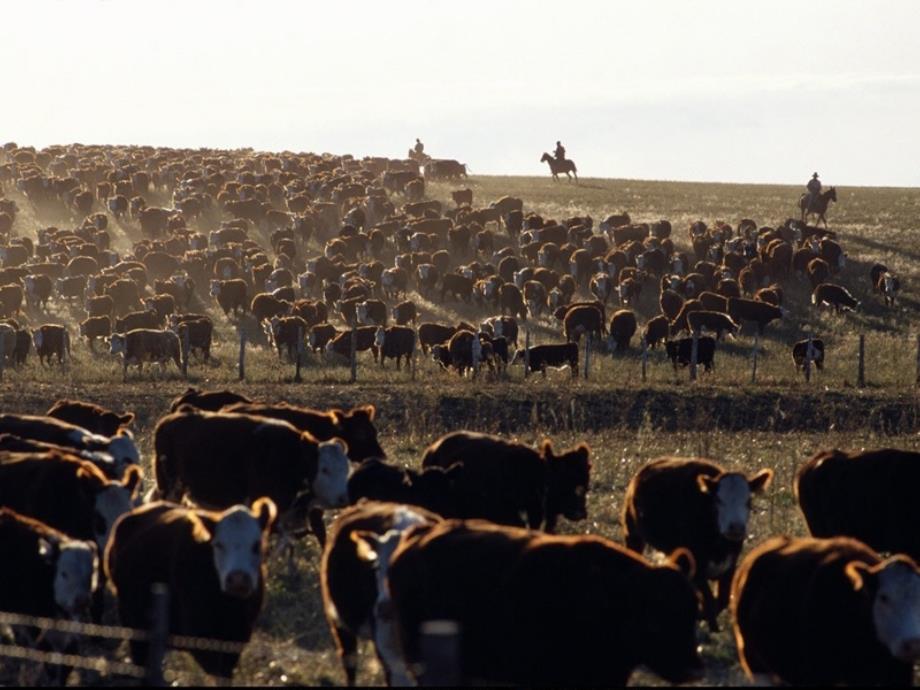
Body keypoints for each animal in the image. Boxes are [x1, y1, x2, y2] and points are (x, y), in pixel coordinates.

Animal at [620, 456, 772, 628]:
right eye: (718, 500)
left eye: (748, 500)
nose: (735, 527)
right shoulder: (696, 566)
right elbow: (710, 601)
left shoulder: (729, 565)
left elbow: (721, 600)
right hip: (632, 535)